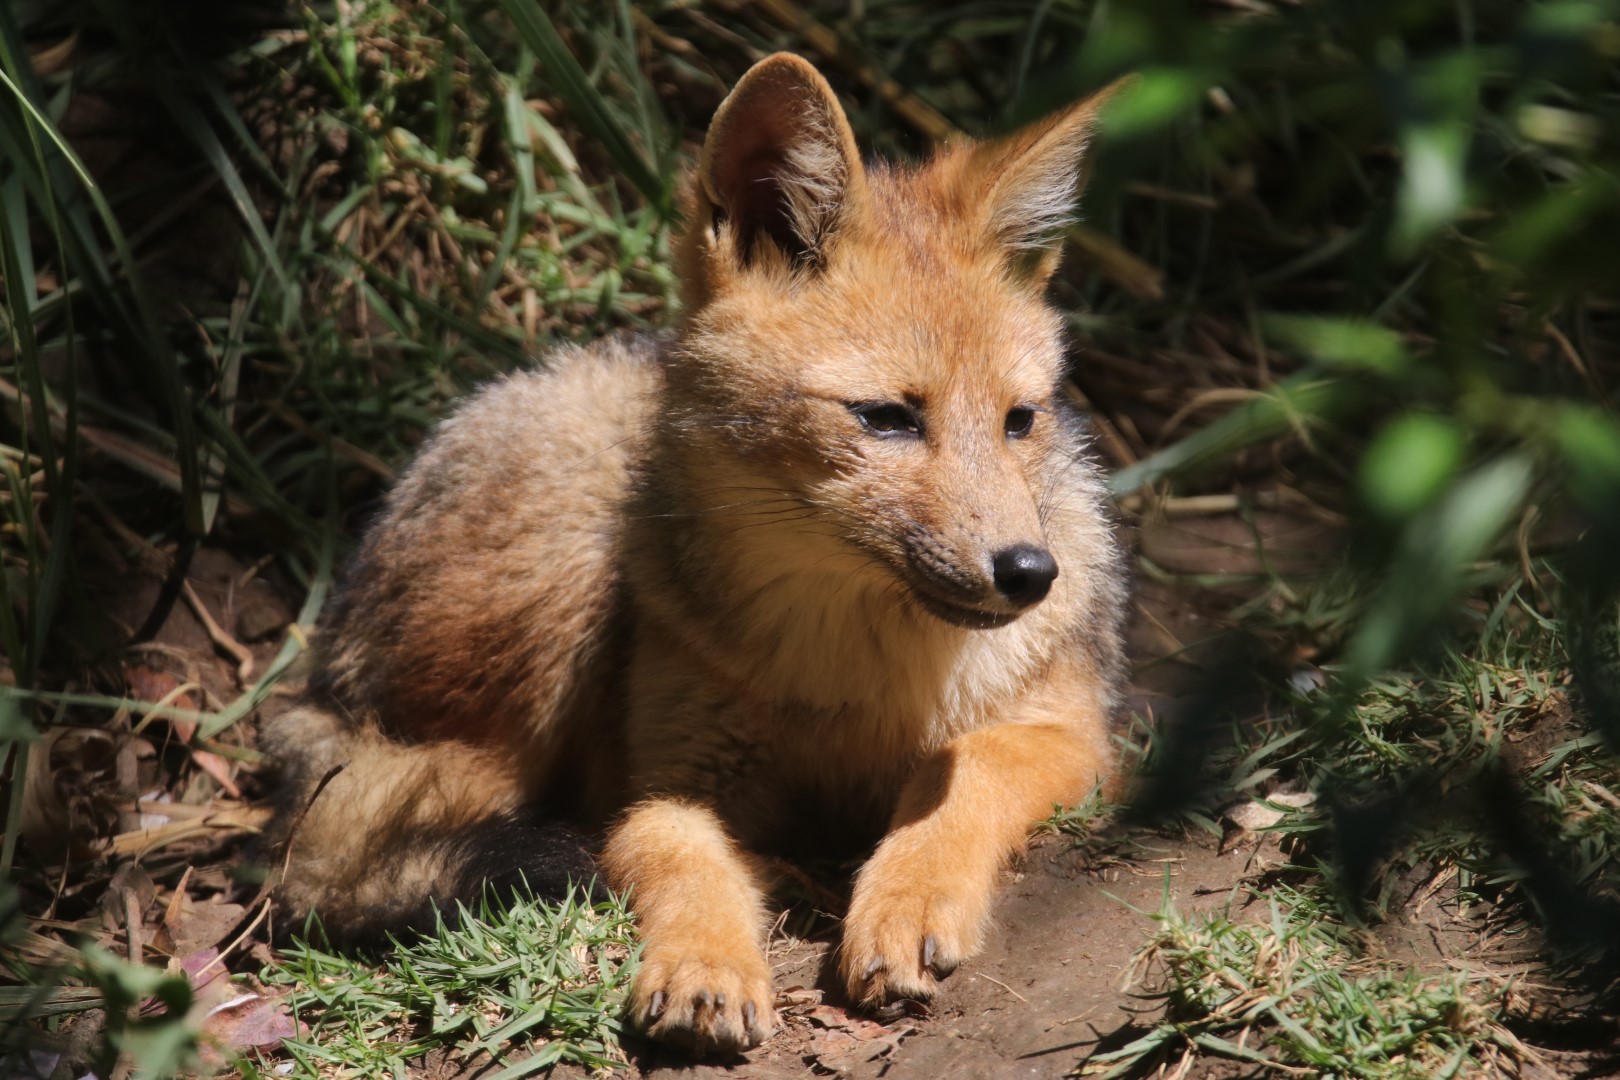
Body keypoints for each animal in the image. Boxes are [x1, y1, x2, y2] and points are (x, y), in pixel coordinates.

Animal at [263, 52, 1130, 1055]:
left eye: (1020, 420)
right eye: (886, 418)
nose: (1029, 573)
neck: (856, 683)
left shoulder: (1075, 734)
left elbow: (964, 773)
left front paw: (906, 898)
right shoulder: (668, 778)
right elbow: (668, 844)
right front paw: (705, 960)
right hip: (557, 597)